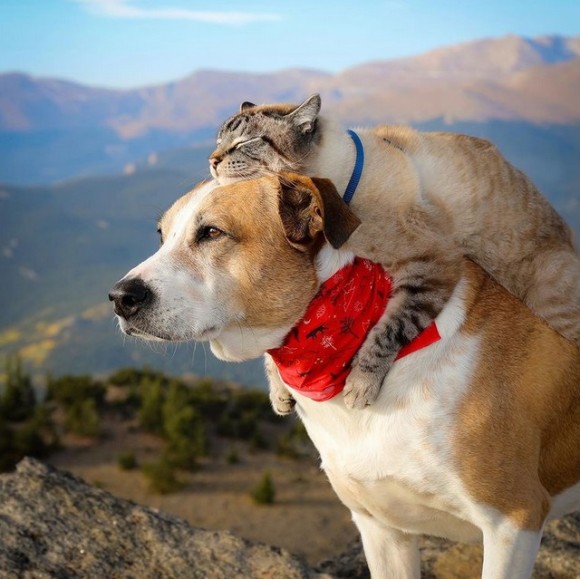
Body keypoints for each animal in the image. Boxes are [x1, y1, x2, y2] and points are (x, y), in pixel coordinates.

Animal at [208, 95, 580, 412]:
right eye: (218, 142)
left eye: (244, 143)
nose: (211, 161)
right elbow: (273, 344)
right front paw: (281, 394)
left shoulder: (433, 264)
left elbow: (389, 330)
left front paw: (359, 388)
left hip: (549, 302)